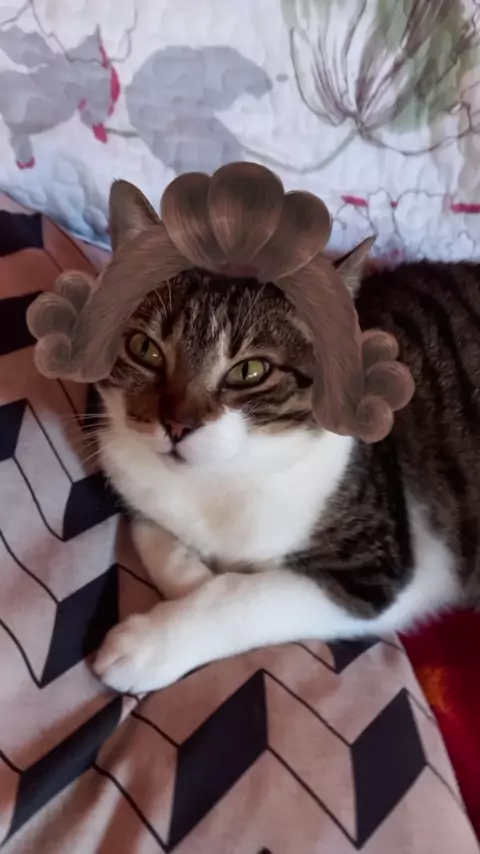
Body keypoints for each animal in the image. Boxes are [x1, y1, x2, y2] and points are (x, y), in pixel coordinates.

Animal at [93, 184, 480, 694]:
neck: (218, 478)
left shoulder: (372, 567)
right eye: (145, 349)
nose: (176, 426)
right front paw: (191, 569)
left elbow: (240, 596)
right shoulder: (130, 479)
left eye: (250, 371)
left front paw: (147, 646)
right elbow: (151, 531)